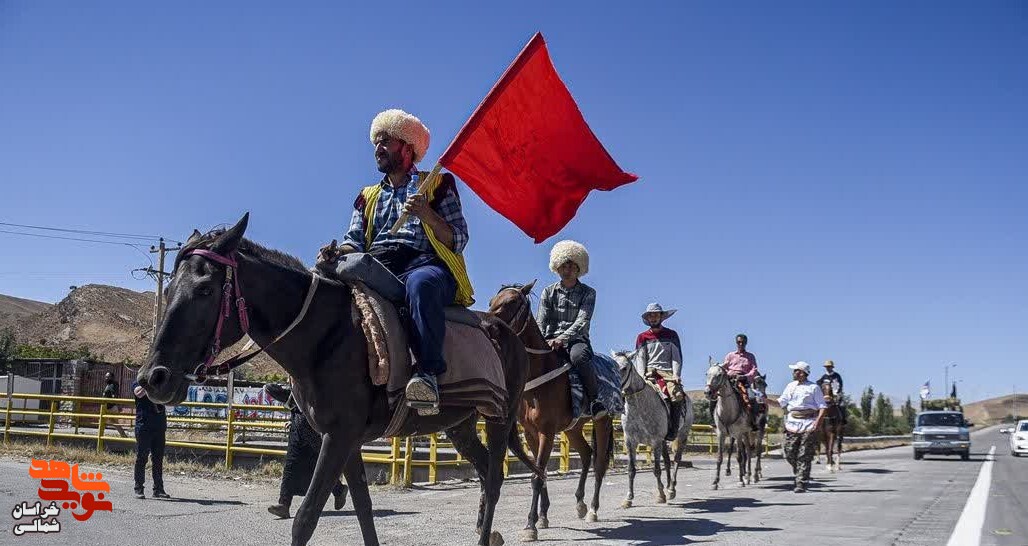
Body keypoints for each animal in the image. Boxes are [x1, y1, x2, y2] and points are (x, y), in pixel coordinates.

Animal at [139, 215, 542, 542]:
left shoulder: (339, 436)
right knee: (487, 473)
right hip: (461, 425)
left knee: (494, 479)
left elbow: (306, 518)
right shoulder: (345, 439)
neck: (326, 334)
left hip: (500, 417)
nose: (153, 378)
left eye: (205, 289)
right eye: (168, 288)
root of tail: (506, 333)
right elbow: (363, 509)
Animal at [485, 281, 612, 542]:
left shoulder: (547, 431)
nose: (488, 324)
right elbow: (540, 473)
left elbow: (536, 477)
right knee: (586, 454)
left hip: (602, 422)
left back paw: (592, 510)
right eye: (492, 300)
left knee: (599, 463)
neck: (539, 376)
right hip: (573, 428)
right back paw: (580, 504)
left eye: (512, 301)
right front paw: (542, 517)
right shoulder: (532, 433)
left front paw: (530, 526)